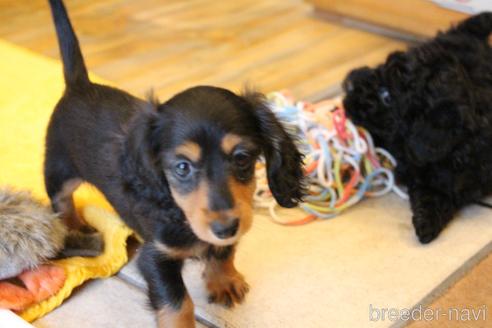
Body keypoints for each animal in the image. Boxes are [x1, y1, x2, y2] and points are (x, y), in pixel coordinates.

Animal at [45, 0, 304, 326]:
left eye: (242, 158)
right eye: (182, 167)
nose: (225, 228)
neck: (180, 214)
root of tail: (80, 85)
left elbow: (223, 253)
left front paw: (223, 280)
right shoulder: (156, 256)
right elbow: (178, 303)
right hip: (59, 172)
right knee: (62, 202)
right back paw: (74, 227)